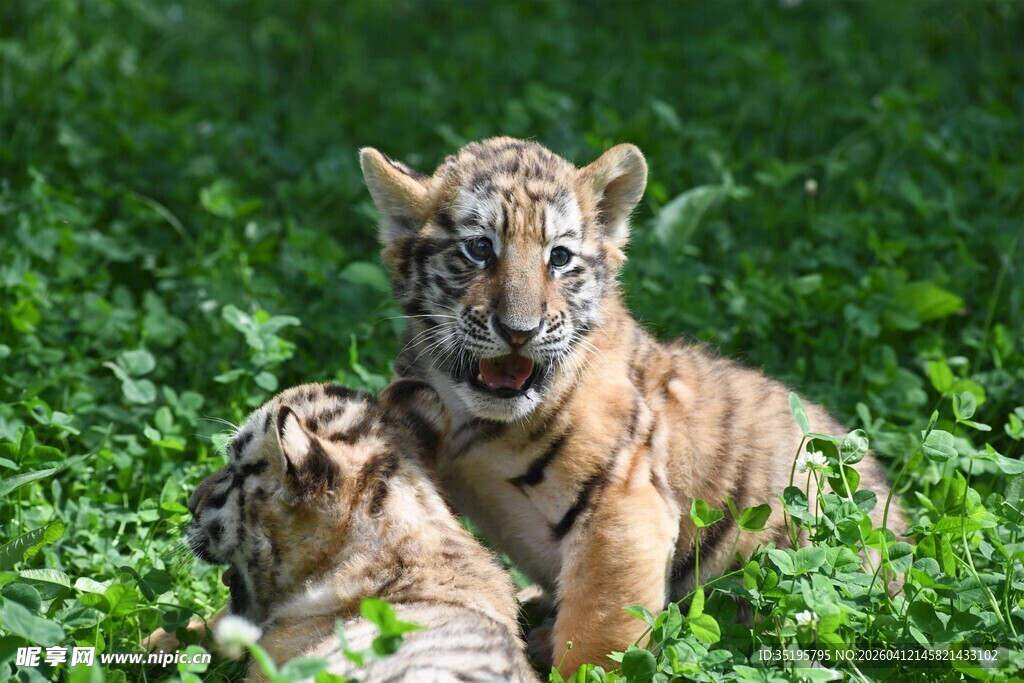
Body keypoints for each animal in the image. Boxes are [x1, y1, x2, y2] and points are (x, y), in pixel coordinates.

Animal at [359, 137, 907, 674]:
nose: (519, 331)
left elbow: (598, 633)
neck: (476, 418)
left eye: (559, 257)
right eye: (478, 248)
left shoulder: (622, 500)